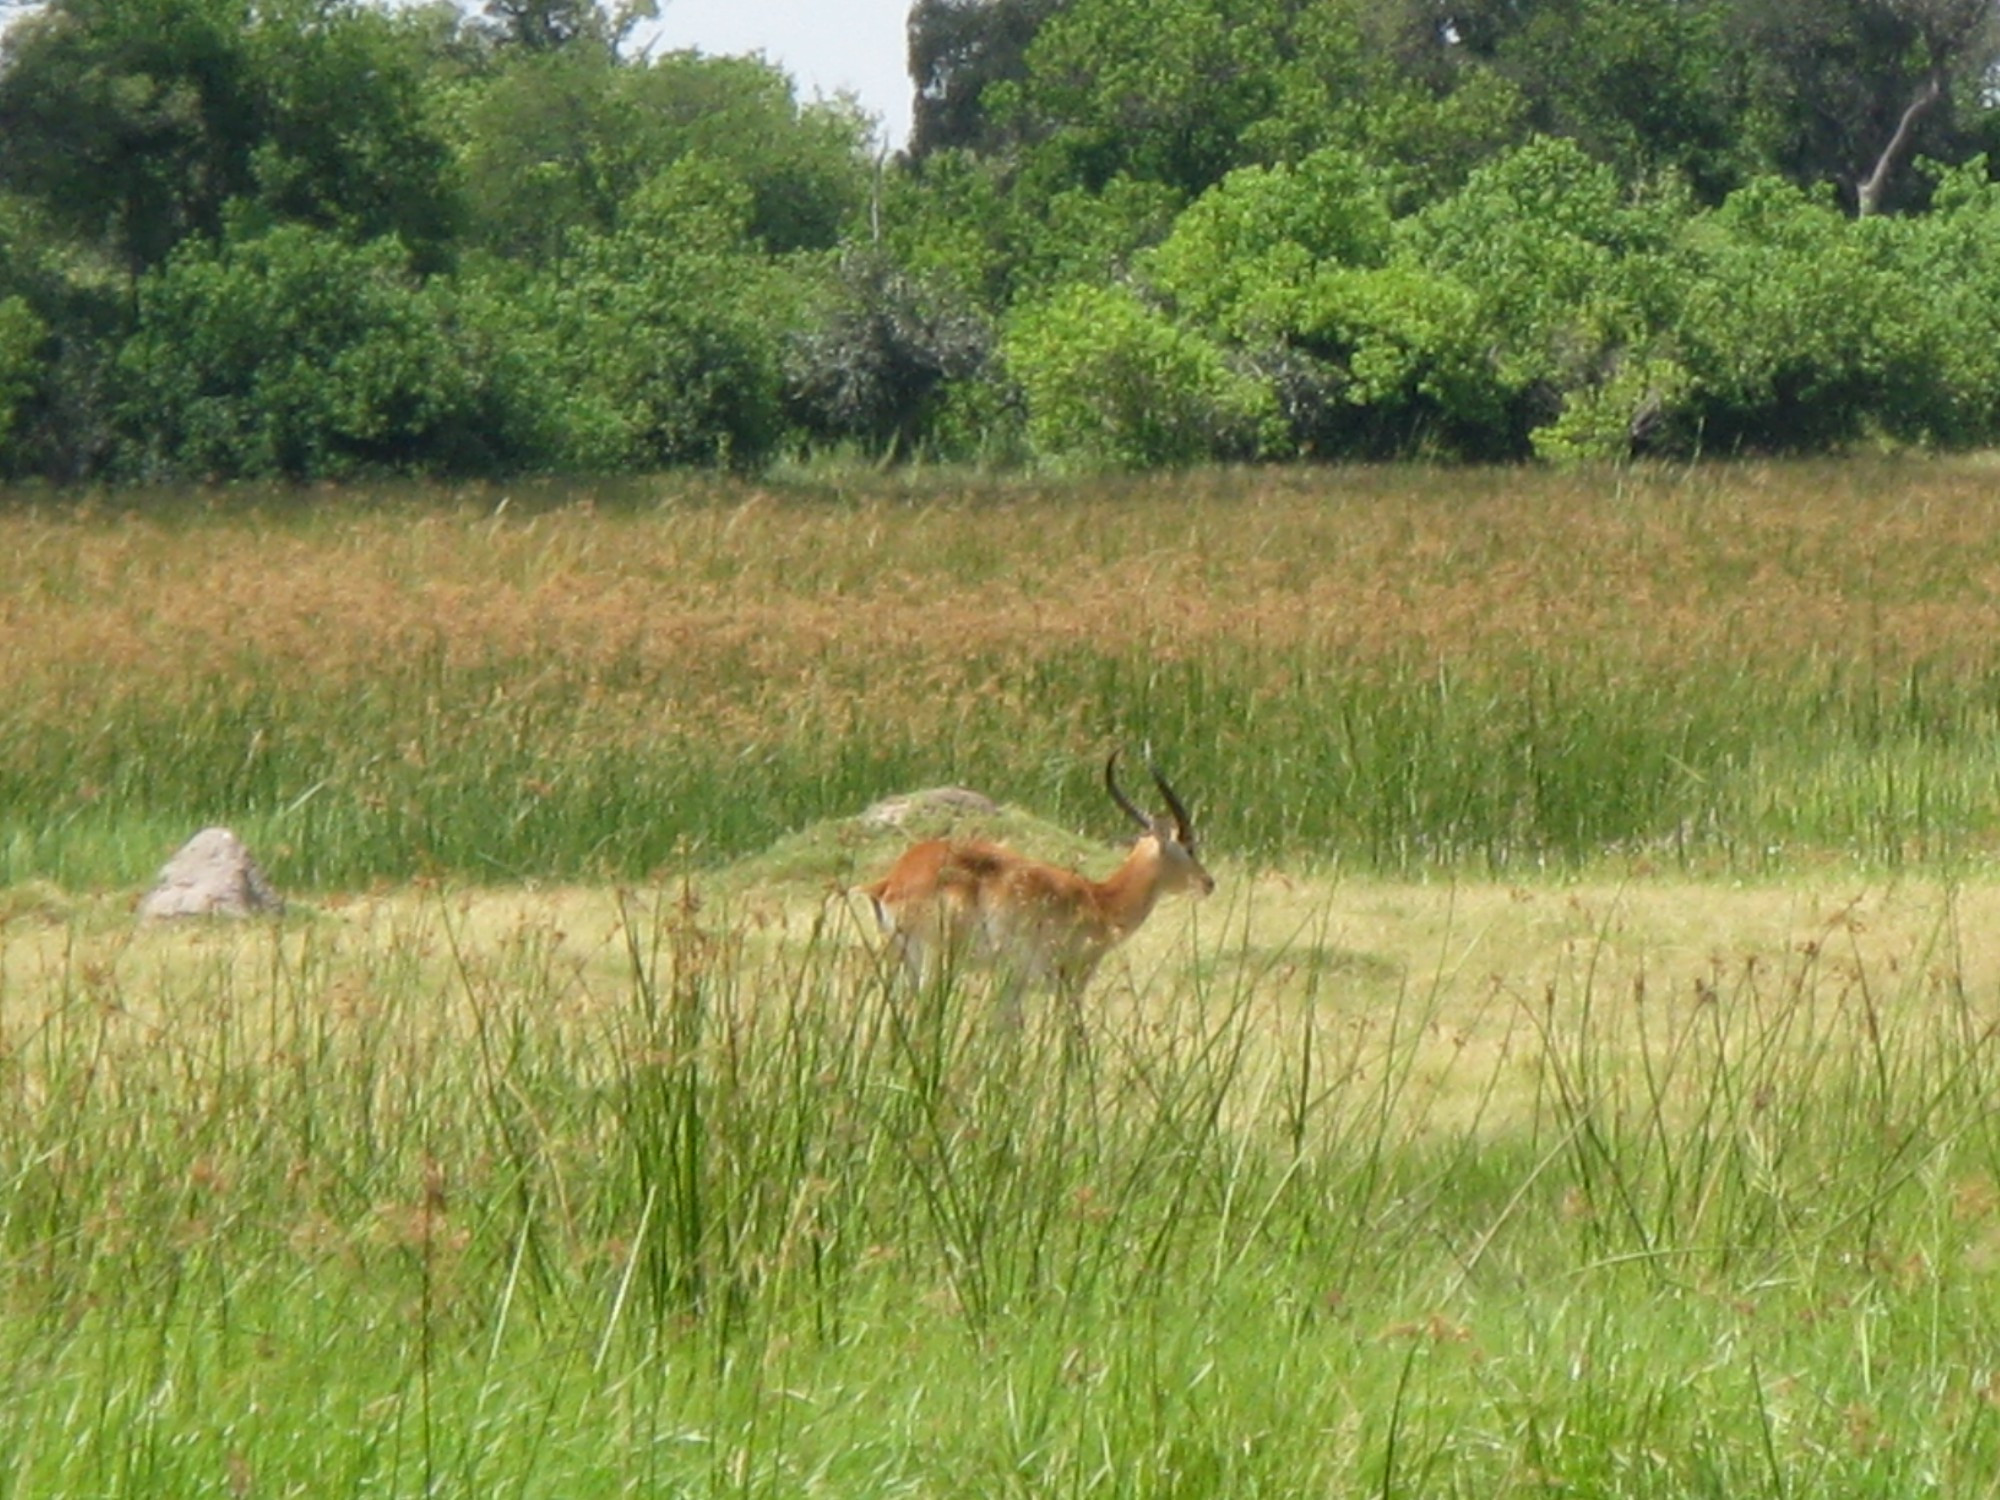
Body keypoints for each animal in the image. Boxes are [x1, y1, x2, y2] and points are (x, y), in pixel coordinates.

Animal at [856, 752, 1208, 1024]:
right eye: (1189, 846)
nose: (1209, 882)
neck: (1099, 900)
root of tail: (892, 881)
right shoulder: (1071, 983)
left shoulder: (1013, 987)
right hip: (933, 965)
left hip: (904, 963)